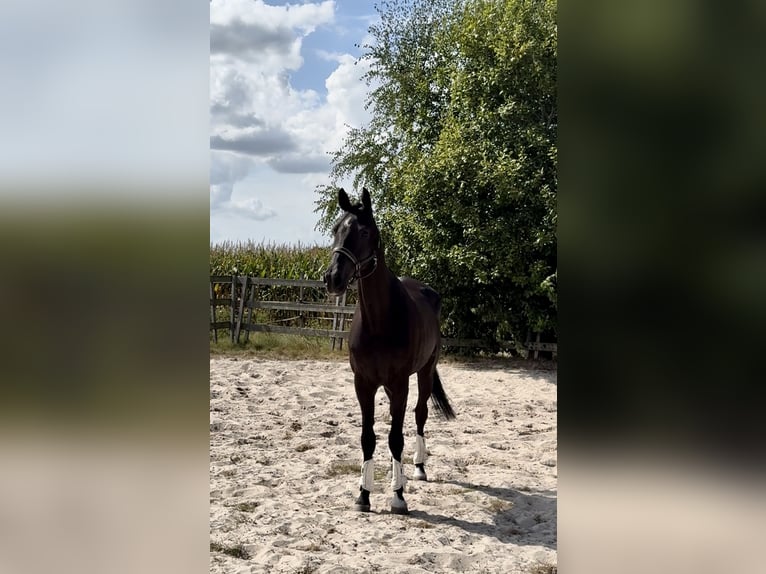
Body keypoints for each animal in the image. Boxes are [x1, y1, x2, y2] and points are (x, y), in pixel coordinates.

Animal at [323, 187, 456, 515]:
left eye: (363, 231)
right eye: (336, 229)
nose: (332, 278)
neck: (380, 320)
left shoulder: (400, 381)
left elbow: (396, 438)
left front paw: (398, 496)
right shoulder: (364, 383)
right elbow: (368, 437)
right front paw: (363, 494)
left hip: (424, 372)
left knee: (419, 415)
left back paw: (418, 468)